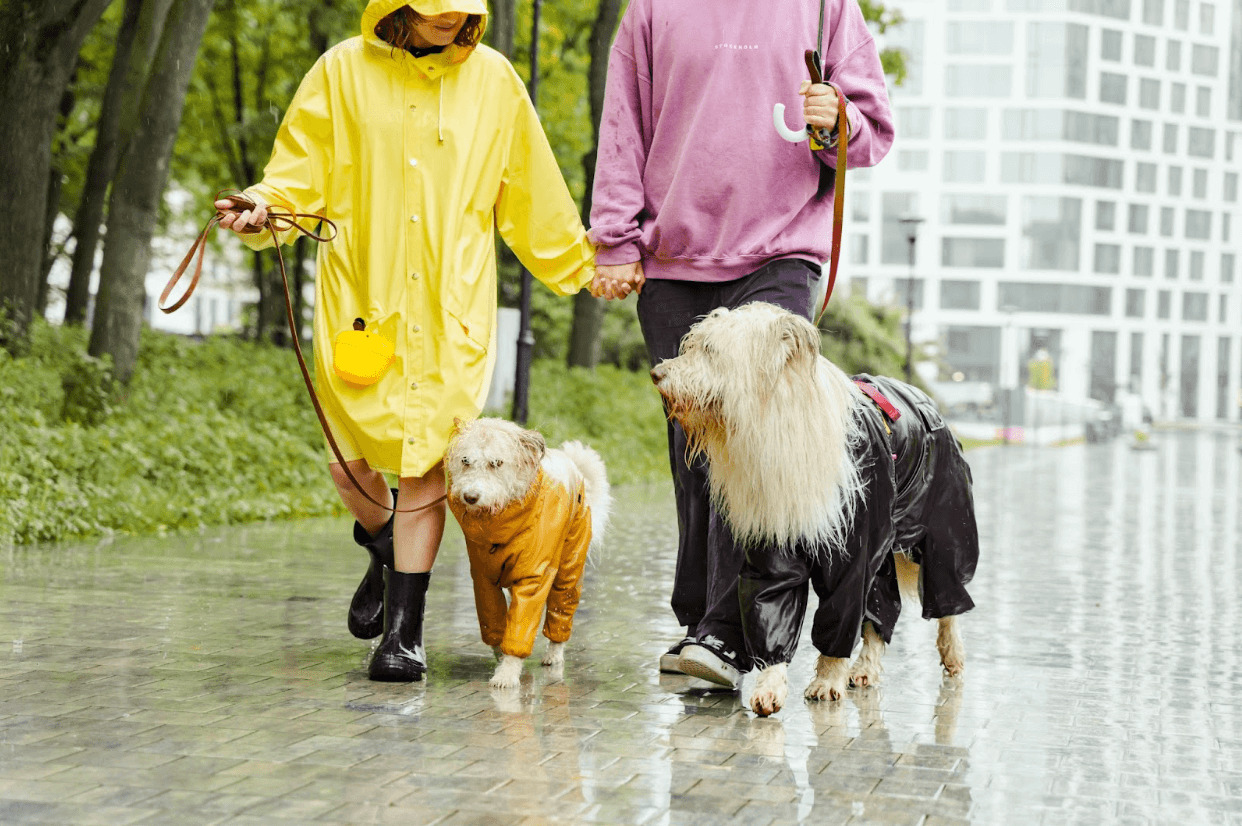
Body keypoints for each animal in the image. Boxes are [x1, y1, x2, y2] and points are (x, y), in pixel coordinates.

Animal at [447, 419, 611, 690]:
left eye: (497, 463)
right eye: (466, 461)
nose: (470, 497)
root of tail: (573, 464)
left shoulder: (534, 578)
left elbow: (521, 625)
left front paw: (506, 673)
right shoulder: (483, 580)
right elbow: (496, 623)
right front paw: (502, 658)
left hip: (569, 569)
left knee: (560, 611)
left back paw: (554, 653)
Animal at [650, 301, 978, 715]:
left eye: (710, 350)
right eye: (691, 346)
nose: (657, 374)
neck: (777, 424)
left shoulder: (854, 549)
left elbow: (839, 616)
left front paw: (826, 680)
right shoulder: (772, 537)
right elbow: (771, 605)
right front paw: (770, 686)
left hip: (944, 524)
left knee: (947, 595)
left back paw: (953, 653)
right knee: (881, 610)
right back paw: (866, 668)